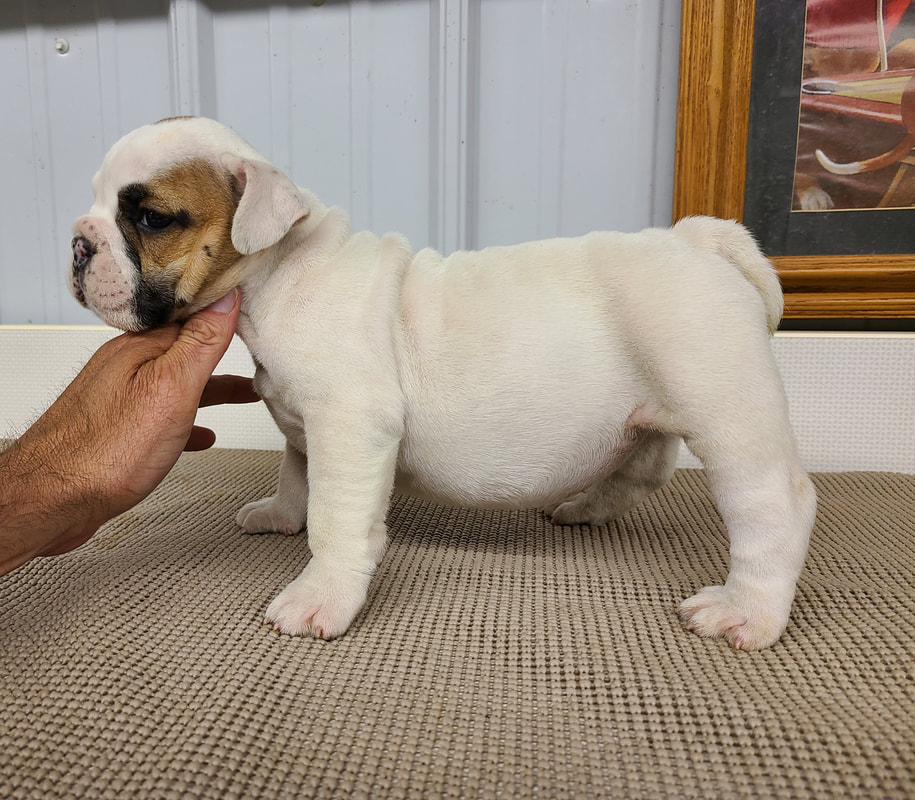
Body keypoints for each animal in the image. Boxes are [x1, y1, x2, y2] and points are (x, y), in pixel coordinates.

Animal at [70, 115, 816, 648]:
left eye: (150, 218)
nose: (78, 243)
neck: (277, 273)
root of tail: (699, 241)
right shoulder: (308, 429)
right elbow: (296, 475)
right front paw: (282, 515)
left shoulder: (349, 425)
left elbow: (337, 521)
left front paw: (320, 596)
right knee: (645, 465)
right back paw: (584, 506)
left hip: (724, 409)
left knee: (774, 504)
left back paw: (746, 610)